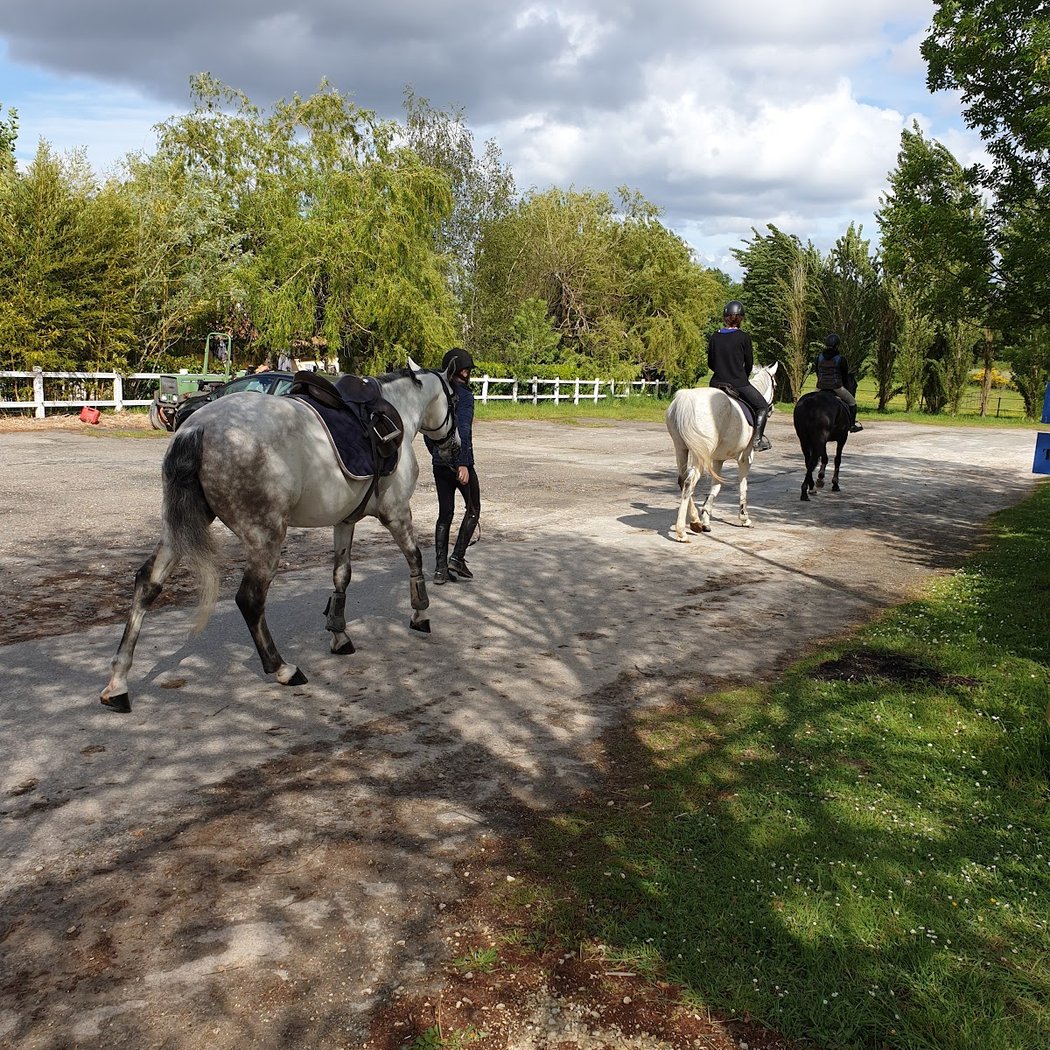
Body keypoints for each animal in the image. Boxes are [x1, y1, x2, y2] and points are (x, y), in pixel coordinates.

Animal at [100, 359, 460, 714]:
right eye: (455, 399)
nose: (452, 446)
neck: (396, 410)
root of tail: (196, 427)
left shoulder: (344, 521)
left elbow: (341, 576)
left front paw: (339, 634)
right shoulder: (397, 513)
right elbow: (415, 558)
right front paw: (420, 614)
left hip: (182, 528)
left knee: (147, 583)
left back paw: (118, 683)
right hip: (266, 537)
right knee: (250, 599)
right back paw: (282, 668)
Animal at [665, 362, 779, 542]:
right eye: (775, 385)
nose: (771, 409)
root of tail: (686, 400)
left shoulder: (718, 460)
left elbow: (715, 487)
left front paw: (705, 519)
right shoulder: (746, 458)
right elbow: (743, 485)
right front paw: (744, 518)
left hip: (681, 449)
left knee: (682, 480)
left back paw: (695, 521)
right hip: (698, 454)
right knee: (689, 482)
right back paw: (682, 531)